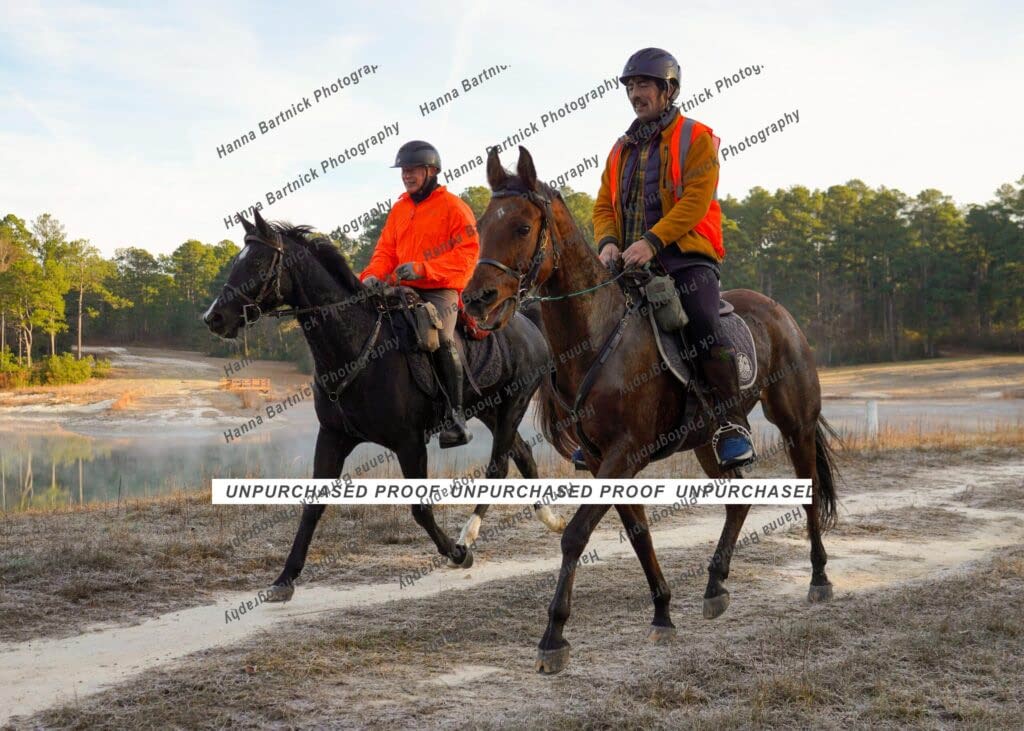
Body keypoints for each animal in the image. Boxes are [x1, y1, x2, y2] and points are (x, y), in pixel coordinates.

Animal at [203, 209, 563, 602]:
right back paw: (552, 520)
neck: (358, 345)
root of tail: (527, 322)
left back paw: (468, 536)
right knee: (523, 453)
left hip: (513, 404)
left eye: (256, 262)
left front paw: (456, 553)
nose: (214, 317)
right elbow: (313, 506)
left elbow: (420, 509)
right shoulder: (333, 437)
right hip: (490, 410)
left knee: (498, 466)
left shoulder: (410, 443)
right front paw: (285, 578)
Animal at [463, 146, 840, 674]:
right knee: (738, 499)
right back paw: (715, 584)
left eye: (521, 227)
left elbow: (575, 535)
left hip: (795, 425)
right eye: (480, 225)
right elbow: (638, 532)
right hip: (710, 440)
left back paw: (819, 578)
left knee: (808, 492)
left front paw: (553, 636)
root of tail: (780, 312)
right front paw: (662, 612)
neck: (597, 334)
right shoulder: (602, 460)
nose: (477, 300)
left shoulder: (625, 454)